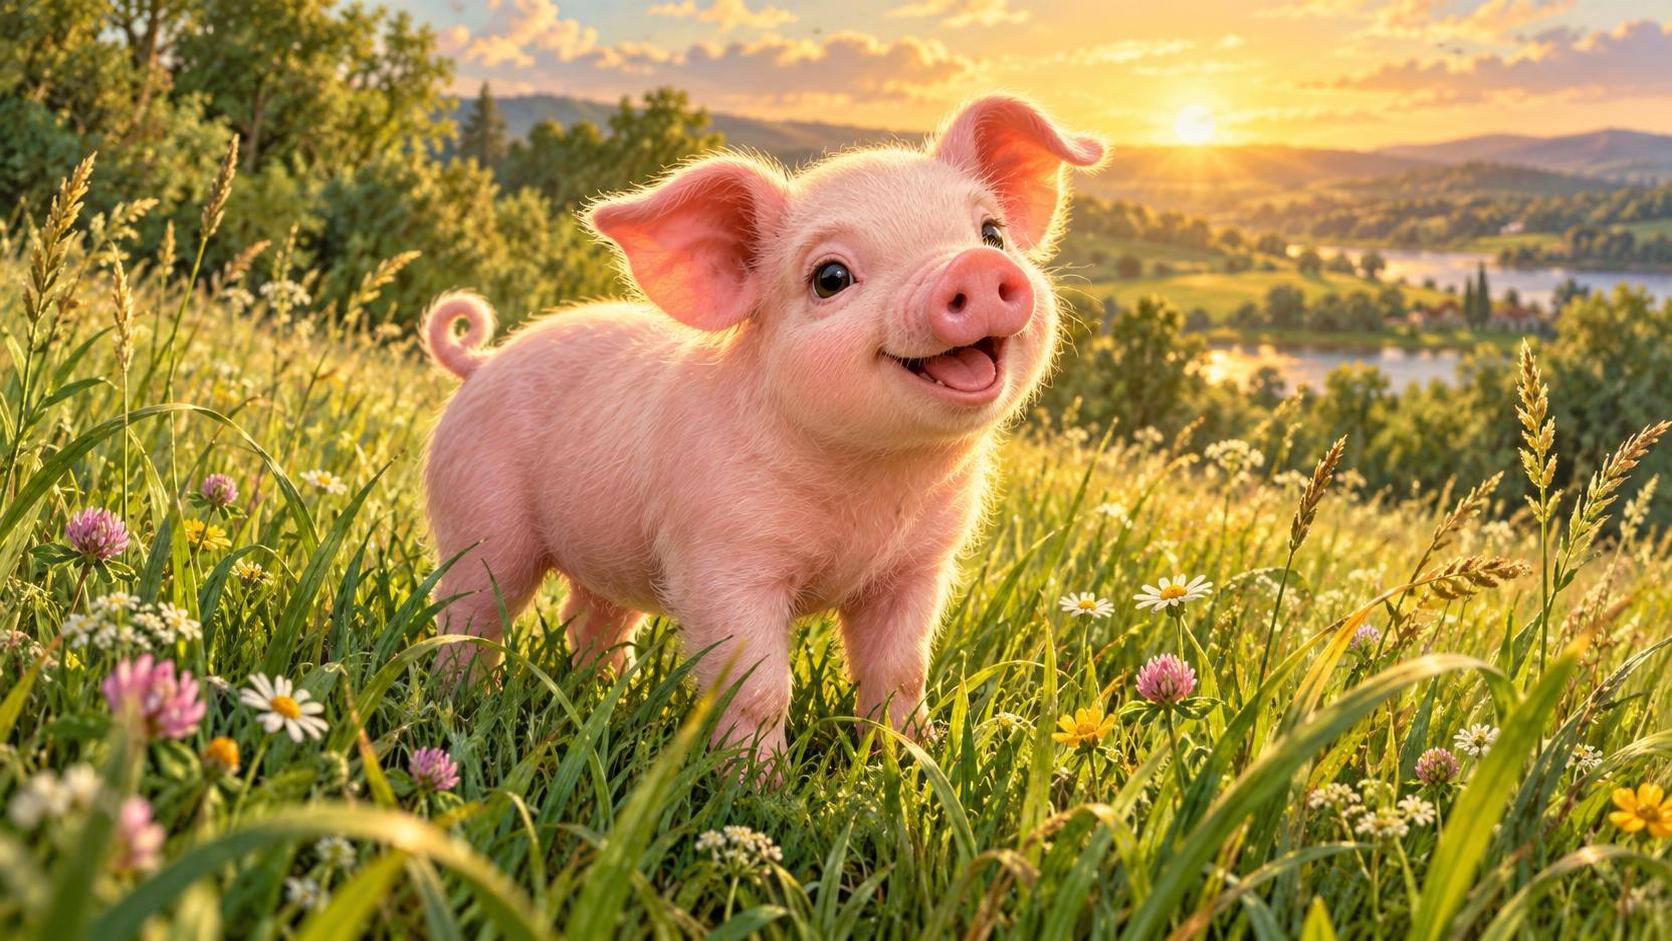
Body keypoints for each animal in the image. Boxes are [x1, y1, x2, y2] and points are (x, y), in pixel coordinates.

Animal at [421, 94, 1105, 765]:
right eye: (830, 278)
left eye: (992, 233)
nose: (974, 266)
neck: (874, 483)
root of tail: (482, 362)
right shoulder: (721, 555)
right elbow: (756, 687)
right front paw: (758, 784)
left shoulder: (919, 565)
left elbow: (901, 671)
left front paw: (910, 760)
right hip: (478, 511)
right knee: (470, 614)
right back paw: (459, 703)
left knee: (593, 618)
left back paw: (604, 694)